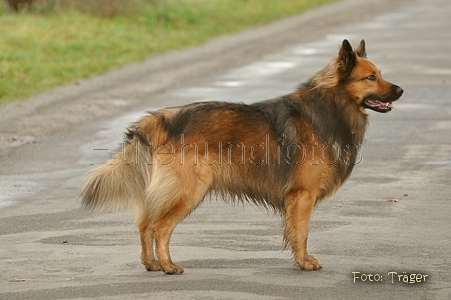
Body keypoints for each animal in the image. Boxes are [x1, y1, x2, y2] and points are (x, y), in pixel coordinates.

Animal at [83, 39, 404, 274]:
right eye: (371, 77)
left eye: (380, 74)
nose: (401, 90)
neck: (330, 106)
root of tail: (161, 118)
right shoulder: (302, 195)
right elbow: (301, 232)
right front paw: (304, 262)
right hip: (189, 191)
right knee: (159, 227)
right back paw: (168, 266)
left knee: (144, 225)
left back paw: (151, 264)